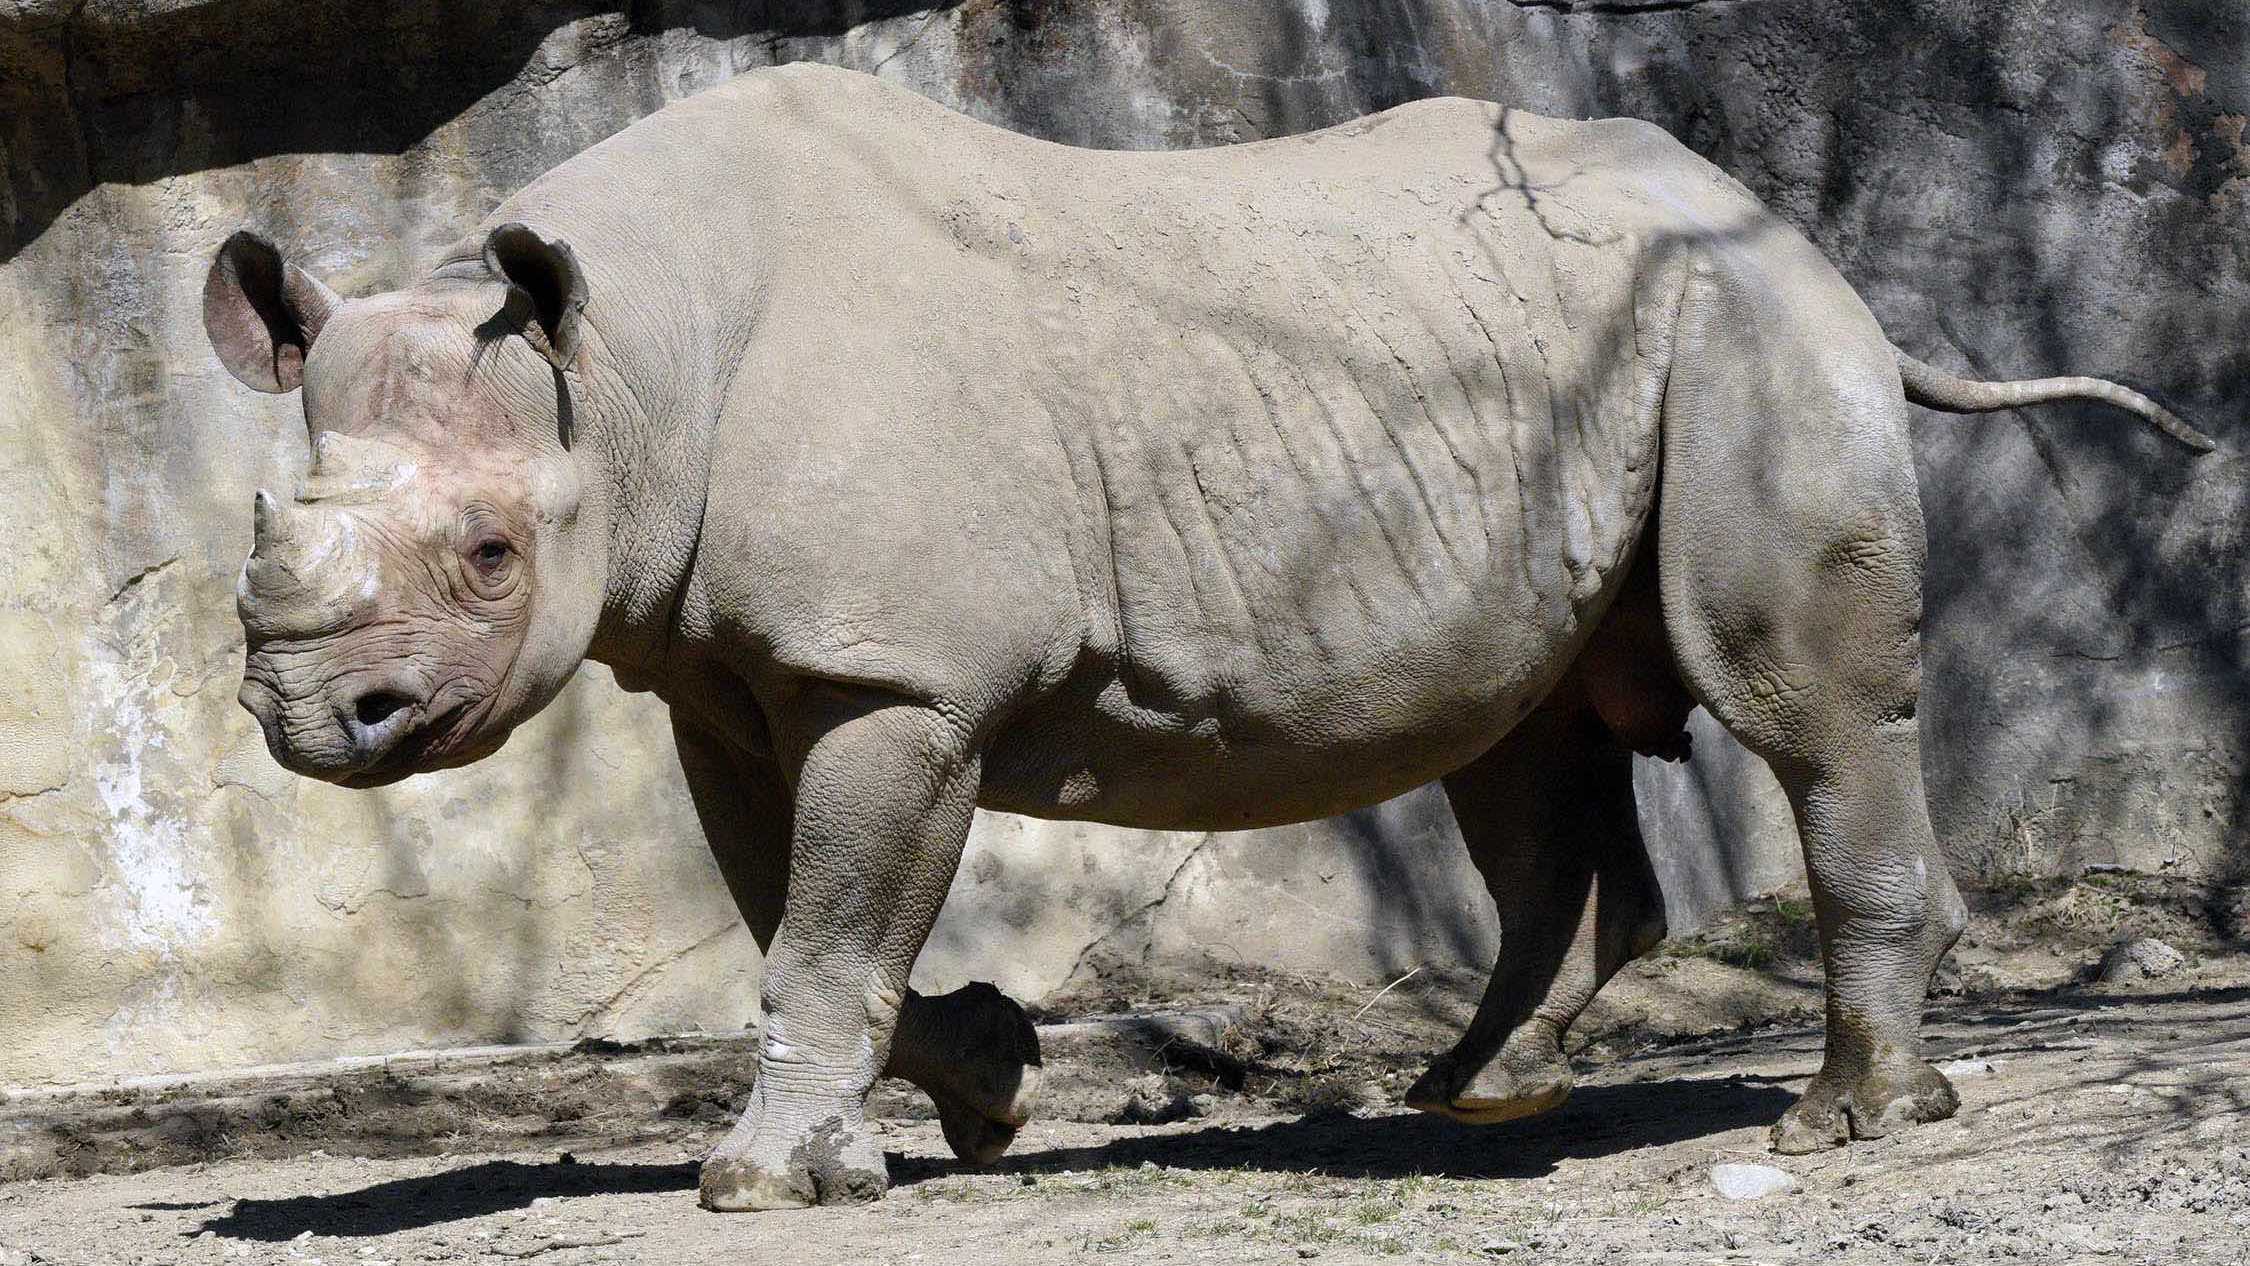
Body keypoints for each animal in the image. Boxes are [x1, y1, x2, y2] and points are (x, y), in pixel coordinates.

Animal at [202, 63, 2210, 1211]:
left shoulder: (886, 673)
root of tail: (1813, 250)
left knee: (1796, 709)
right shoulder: (729, 665)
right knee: (1525, 740)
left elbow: (826, 928)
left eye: (486, 554)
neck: (625, 366)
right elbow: (798, 917)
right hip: (1605, 353)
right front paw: (988, 1086)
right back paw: (1477, 1098)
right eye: (260, 530)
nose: (309, 716)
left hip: (1745, 335)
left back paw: (1842, 1125)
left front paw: (762, 1186)